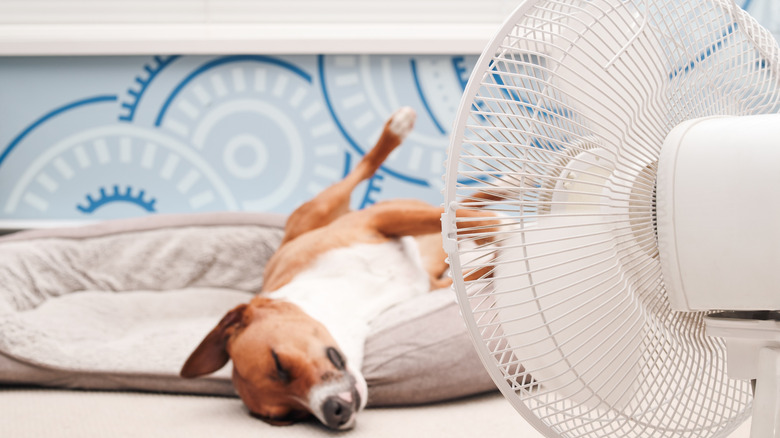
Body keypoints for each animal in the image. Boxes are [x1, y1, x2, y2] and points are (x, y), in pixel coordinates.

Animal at [179, 108, 494, 430]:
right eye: (289, 417)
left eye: (279, 364)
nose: (334, 412)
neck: (349, 302)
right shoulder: (436, 282)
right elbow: (480, 254)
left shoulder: (378, 219)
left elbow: (482, 223)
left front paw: (503, 230)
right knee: (464, 205)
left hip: (322, 210)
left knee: (368, 172)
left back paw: (398, 131)